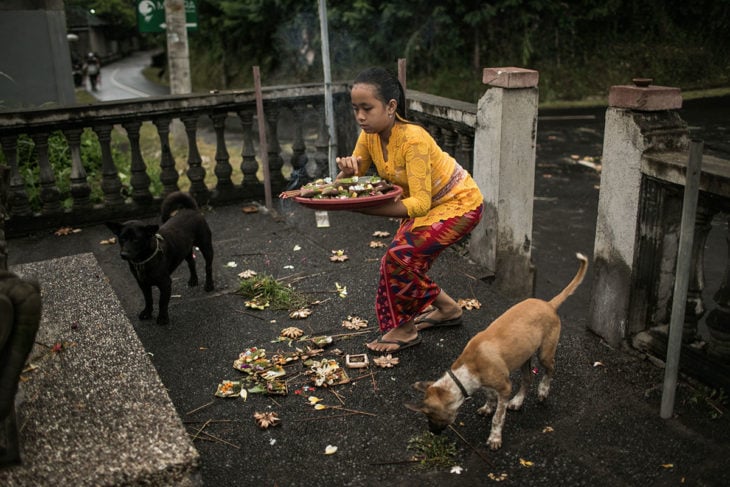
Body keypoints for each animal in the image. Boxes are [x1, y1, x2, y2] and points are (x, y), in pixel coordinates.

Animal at [105, 193, 213, 326]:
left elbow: (162, 302)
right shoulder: (143, 284)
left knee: (208, 267)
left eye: (136, 239)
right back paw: (193, 280)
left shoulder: (165, 284)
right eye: (122, 239)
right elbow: (148, 299)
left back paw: (209, 285)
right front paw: (147, 312)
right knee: (192, 263)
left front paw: (162, 318)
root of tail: (191, 210)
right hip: (186, 249)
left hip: (206, 246)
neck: (143, 260)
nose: (123, 254)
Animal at [404, 254, 584, 452]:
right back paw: (518, 401)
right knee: (527, 378)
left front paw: (495, 438)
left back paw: (543, 390)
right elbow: (490, 396)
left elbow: (498, 417)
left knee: (550, 369)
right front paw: (487, 408)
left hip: (545, 352)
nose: (432, 433)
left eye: (430, 416)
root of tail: (549, 304)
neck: (468, 367)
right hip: (524, 355)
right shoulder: (486, 384)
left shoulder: (505, 388)